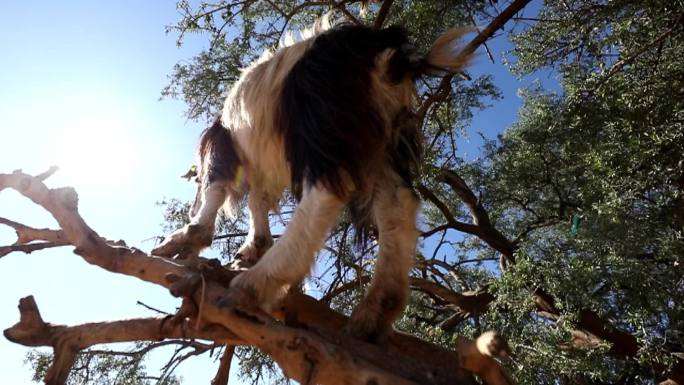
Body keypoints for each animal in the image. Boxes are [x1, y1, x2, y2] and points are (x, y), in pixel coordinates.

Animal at [151, 20, 470, 340]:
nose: (190, 210)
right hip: (383, 143)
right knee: (397, 206)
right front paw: (252, 247)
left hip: (324, 128)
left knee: (325, 193)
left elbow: (218, 187)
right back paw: (374, 312)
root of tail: (385, 49)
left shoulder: (224, 148)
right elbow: (258, 202)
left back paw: (252, 286)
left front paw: (184, 239)